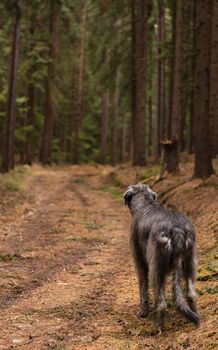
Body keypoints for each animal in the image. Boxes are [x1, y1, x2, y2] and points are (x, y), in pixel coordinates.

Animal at [123, 185, 200, 326]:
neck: (145, 203)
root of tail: (177, 230)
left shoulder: (140, 263)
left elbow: (143, 287)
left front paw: (143, 312)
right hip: (189, 262)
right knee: (191, 294)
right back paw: (196, 317)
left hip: (156, 267)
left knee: (162, 303)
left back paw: (158, 326)